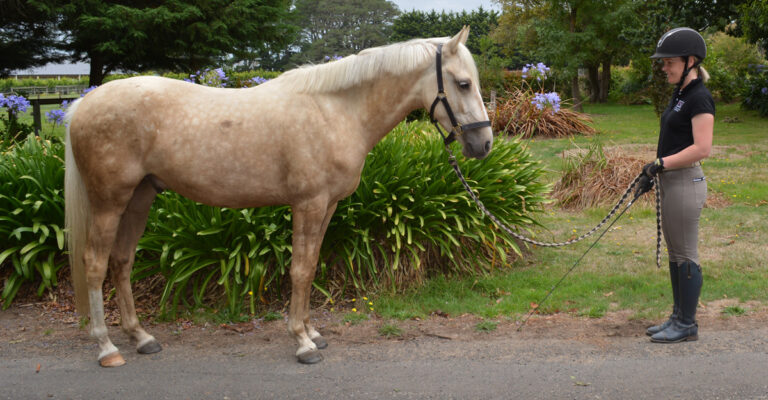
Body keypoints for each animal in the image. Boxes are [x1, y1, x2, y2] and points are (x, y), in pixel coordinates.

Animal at [64, 26, 493, 366]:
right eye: (463, 83)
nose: (484, 143)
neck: (335, 111)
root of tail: (84, 102)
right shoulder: (309, 204)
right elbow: (300, 270)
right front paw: (302, 343)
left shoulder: (328, 205)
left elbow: (313, 264)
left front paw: (312, 331)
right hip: (109, 201)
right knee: (95, 263)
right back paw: (106, 348)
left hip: (140, 197)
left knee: (121, 261)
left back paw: (141, 338)